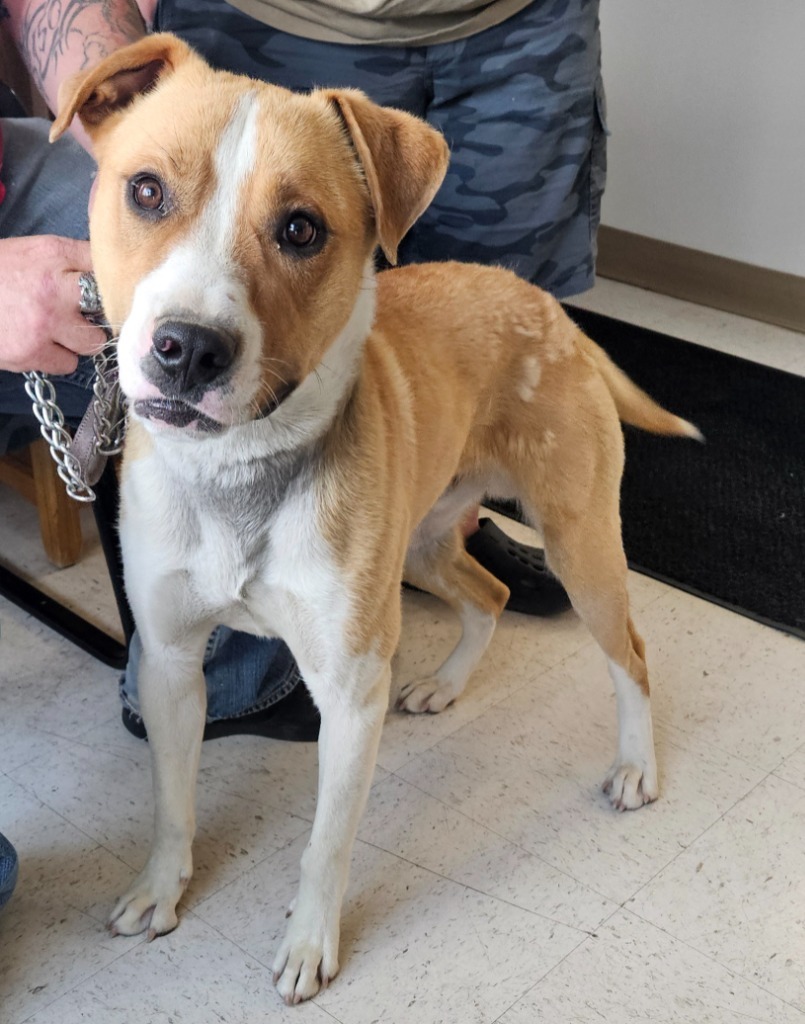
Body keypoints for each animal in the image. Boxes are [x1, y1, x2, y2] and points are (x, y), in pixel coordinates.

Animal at [54, 34, 696, 1007]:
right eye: (147, 190)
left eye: (301, 229)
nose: (186, 349)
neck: (239, 473)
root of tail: (544, 303)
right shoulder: (166, 660)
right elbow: (171, 803)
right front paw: (161, 890)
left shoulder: (349, 692)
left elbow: (325, 844)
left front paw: (309, 945)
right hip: (423, 544)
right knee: (489, 592)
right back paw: (445, 683)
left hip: (580, 544)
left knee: (631, 654)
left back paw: (634, 767)